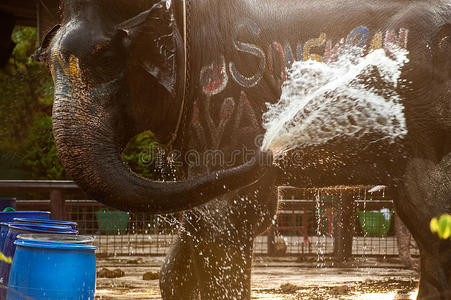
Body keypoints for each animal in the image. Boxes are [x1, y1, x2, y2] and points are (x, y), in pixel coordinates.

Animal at [37, 0, 450, 298]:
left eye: (104, 55)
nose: (267, 153)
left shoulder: (226, 97)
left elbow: (229, 215)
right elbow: (198, 223)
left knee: (429, 221)